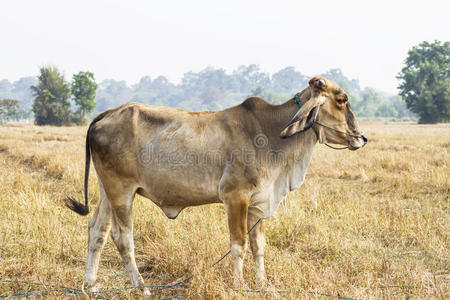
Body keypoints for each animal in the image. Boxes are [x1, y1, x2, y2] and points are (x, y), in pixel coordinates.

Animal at [66, 76, 366, 294]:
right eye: (342, 100)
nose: (361, 138)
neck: (271, 134)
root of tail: (107, 114)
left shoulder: (258, 203)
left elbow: (259, 246)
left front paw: (262, 285)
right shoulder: (235, 197)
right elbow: (238, 244)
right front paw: (239, 285)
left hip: (107, 191)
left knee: (97, 231)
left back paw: (91, 285)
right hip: (122, 192)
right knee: (123, 237)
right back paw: (141, 287)